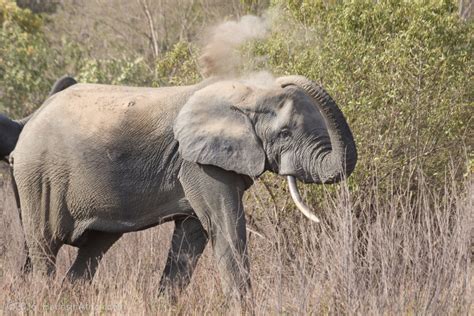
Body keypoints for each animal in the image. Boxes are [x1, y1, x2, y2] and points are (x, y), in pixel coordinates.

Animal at [3, 73, 356, 302]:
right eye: (284, 133)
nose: (286, 80)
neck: (247, 94)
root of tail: (32, 119)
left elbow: (191, 237)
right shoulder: (199, 164)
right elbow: (225, 229)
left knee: (91, 253)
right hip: (38, 178)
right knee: (44, 247)